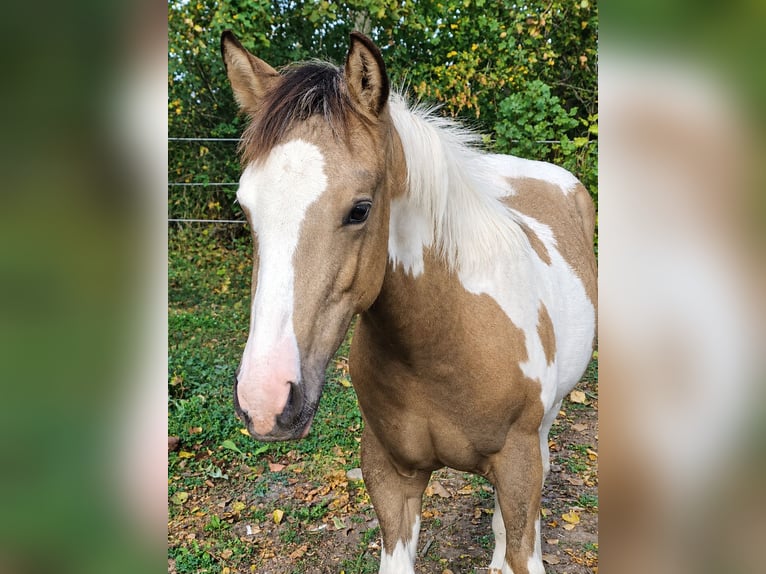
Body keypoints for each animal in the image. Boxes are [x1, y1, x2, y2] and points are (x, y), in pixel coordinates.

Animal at [221, 30, 596, 574]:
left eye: (360, 209)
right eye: (246, 208)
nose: (265, 401)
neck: (446, 343)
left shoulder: (517, 465)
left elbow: (521, 534)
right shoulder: (390, 476)